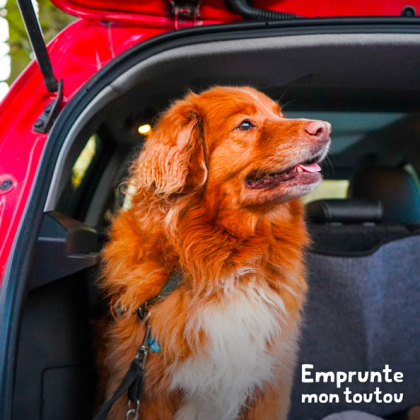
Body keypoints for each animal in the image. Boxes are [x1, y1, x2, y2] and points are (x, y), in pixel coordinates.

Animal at [99, 86, 332, 420]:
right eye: (245, 125)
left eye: (280, 114)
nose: (325, 128)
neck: (229, 259)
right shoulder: (150, 392)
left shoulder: (267, 387)